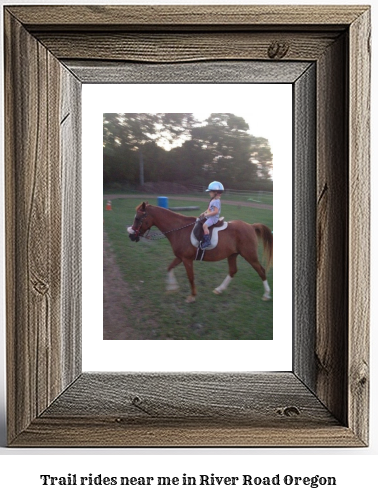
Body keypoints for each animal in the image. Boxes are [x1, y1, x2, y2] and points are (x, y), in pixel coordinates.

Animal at [127, 201, 272, 302]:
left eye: (138, 218)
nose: (131, 236)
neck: (179, 230)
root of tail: (251, 226)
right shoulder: (180, 257)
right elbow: (169, 268)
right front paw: (172, 287)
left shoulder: (187, 259)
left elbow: (191, 277)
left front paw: (192, 296)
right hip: (232, 255)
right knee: (232, 271)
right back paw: (219, 289)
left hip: (250, 255)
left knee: (261, 271)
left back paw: (266, 294)